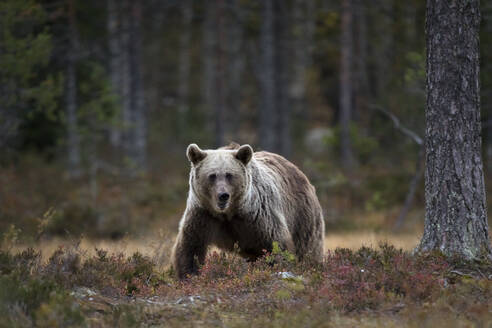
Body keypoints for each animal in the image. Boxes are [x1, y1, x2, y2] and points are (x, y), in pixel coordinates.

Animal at [171, 142, 324, 278]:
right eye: (212, 175)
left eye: (229, 175)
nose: (223, 195)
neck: (228, 213)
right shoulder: (203, 215)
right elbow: (191, 247)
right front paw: (189, 274)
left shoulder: (259, 216)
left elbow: (276, 245)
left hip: (302, 215)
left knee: (309, 247)